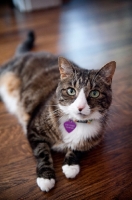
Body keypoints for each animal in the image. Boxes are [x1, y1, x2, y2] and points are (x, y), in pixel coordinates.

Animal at [0, 31, 115, 192]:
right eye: (71, 91)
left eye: (94, 93)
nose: (80, 107)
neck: (77, 123)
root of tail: (27, 54)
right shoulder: (33, 130)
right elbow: (42, 152)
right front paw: (46, 178)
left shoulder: (92, 137)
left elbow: (79, 149)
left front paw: (71, 165)